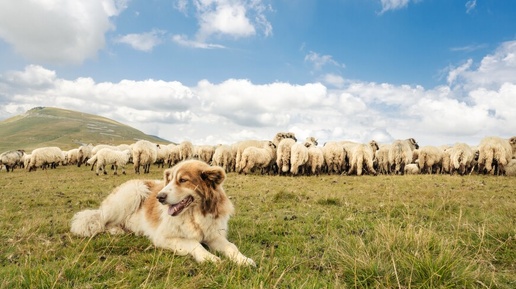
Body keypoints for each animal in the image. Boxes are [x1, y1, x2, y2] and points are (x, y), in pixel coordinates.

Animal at [70, 159, 256, 264]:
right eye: (170, 179)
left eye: (183, 180)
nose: (159, 196)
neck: (194, 215)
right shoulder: (164, 237)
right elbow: (194, 243)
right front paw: (209, 258)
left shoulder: (214, 235)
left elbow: (231, 247)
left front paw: (243, 260)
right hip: (134, 192)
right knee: (103, 220)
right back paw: (117, 230)